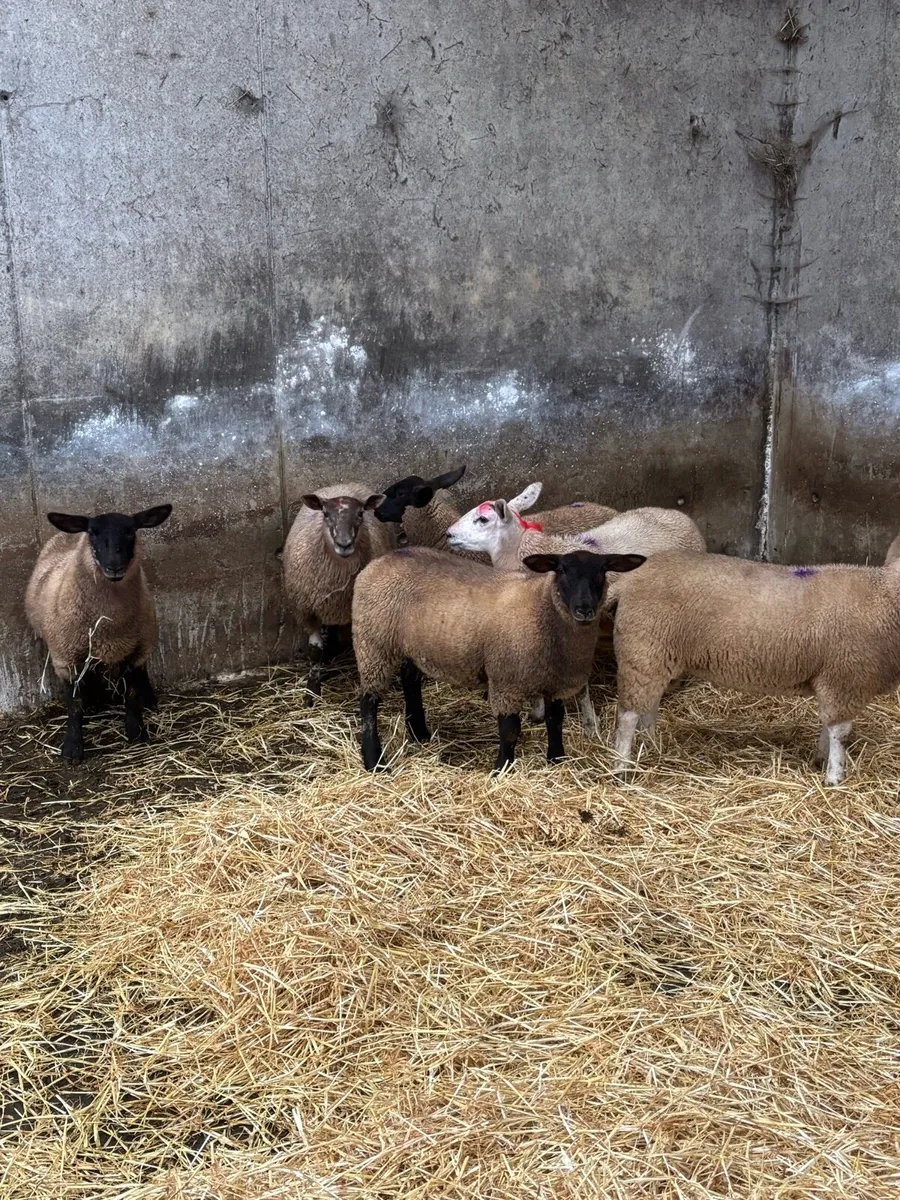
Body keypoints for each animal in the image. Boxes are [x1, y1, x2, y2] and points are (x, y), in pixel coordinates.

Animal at [25, 504, 173, 763]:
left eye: (131, 531)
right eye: (93, 532)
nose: (114, 566)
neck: (109, 627)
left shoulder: (135, 650)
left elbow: (132, 692)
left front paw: (136, 731)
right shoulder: (66, 657)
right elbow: (74, 704)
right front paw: (72, 748)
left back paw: (148, 699)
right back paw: (93, 703)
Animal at [282, 483, 393, 703]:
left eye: (360, 513)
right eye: (325, 513)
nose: (344, 544)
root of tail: (344, 485)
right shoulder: (306, 611)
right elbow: (315, 651)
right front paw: (312, 691)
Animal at [352, 546, 645, 772]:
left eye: (602, 571)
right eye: (561, 570)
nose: (584, 609)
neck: (541, 609)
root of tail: (378, 561)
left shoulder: (555, 682)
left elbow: (555, 721)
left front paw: (556, 759)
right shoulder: (506, 680)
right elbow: (510, 729)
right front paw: (502, 768)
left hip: (410, 646)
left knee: (410, 683)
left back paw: (420, 734)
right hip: (373, 645)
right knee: (368, 703)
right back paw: (375, 761)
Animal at [609, 549, 900, 785]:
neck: (885, 596)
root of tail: (627, 581)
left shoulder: (837, 680)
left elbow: (828, 727)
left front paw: (821, 760)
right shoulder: (846, 678)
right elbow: (840, 733)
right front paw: (835, 776)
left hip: (655, 657)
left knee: (648, 705)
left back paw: (651, 745)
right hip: (643, 650)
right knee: (627, 716)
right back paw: (621, 767)